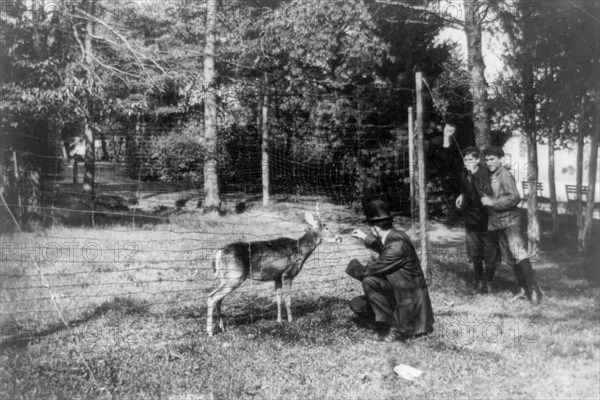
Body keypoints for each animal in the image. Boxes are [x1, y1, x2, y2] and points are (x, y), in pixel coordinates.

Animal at [206, 205, 340, 336]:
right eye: (326, 227)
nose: (339, 238)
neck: (300, 250)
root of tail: (219, 252)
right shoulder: (288, 274)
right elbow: (288, 299)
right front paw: (291, 320)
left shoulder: (277, 276)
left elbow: (278, 299)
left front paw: (279, 320)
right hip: (235, 276)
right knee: (212, 297)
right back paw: (210, 332)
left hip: (226, 277)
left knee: (219, 299)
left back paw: (223, 328)